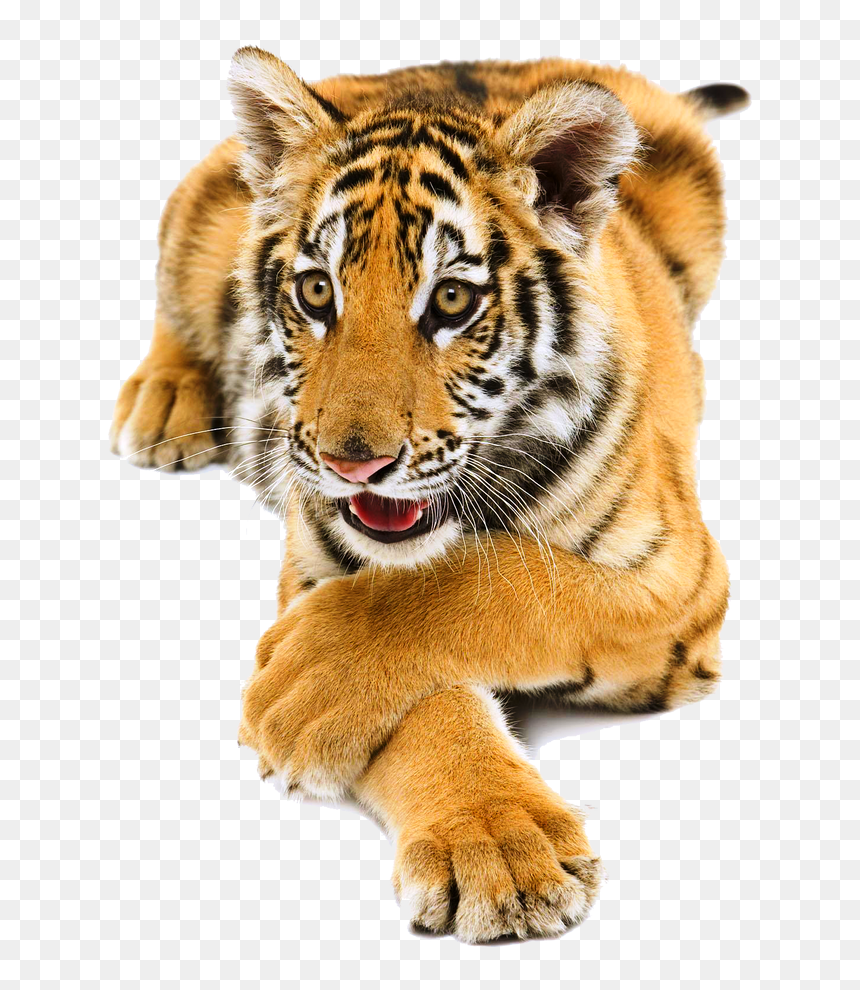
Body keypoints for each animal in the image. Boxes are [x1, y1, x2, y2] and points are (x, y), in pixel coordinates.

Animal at [110, 48, 748, 942]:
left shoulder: (681, 573)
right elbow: (435, 704)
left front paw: (307, 678)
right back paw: (164, 405)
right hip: (194, 228)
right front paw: (497, 847)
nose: (353, 465)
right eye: (316, 293)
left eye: (451, 300)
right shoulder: (318, 561)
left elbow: (505, 585)